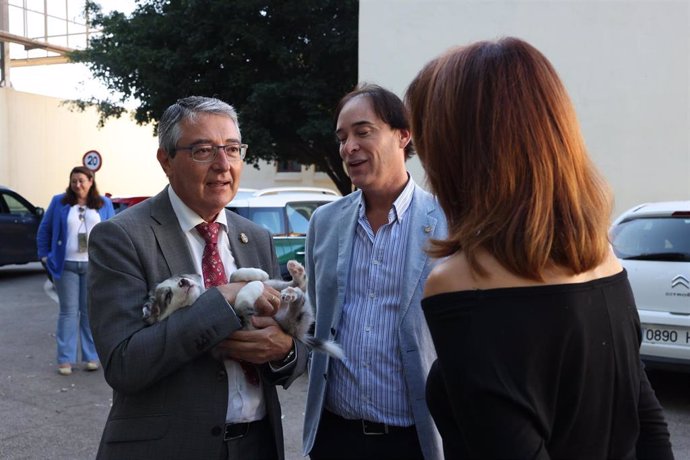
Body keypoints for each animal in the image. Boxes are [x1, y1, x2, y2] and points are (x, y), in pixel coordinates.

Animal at [140, 258, 344, 360]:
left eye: (179, 278)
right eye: (167, 296)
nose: (183, 281)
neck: (201, 295)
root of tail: (296, 333)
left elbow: (233, 276)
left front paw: (256, 273)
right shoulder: (242, 320)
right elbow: (241, 301)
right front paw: (251, 289)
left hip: (279, 287)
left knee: (297, 286)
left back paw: (295, 274)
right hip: (296, 319)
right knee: (298, 302)